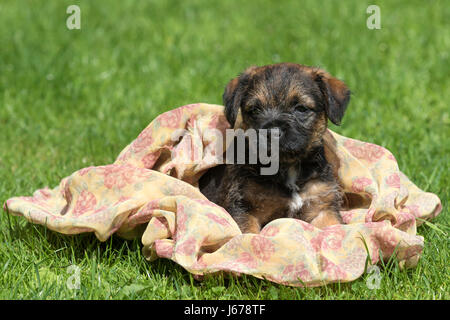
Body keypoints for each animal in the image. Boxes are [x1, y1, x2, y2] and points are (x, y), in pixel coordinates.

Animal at [200, 63, 352, 232]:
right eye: (255, 110)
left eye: (301, 109)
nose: (272, 132)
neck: (287, 167)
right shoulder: (244, 208)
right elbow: (249, 233)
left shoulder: (323, 207)